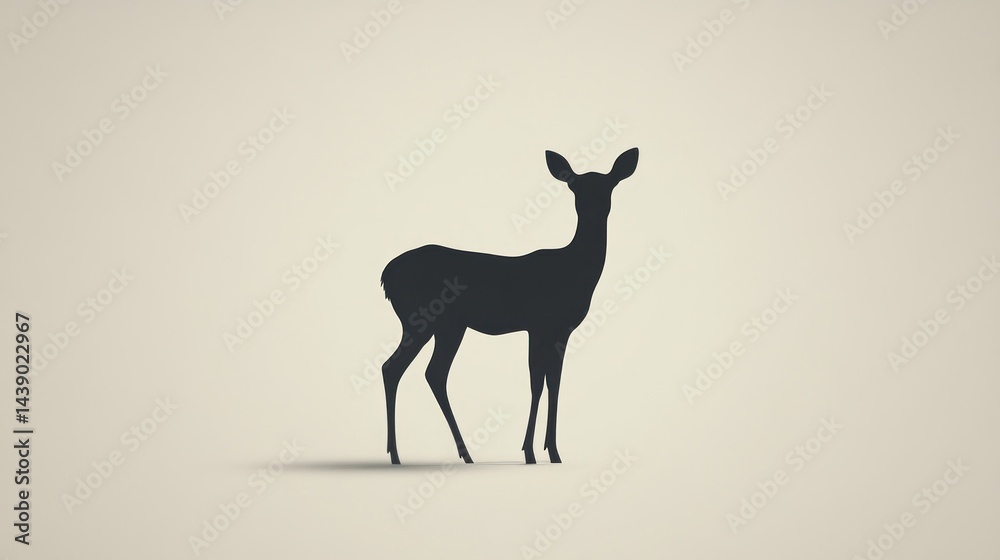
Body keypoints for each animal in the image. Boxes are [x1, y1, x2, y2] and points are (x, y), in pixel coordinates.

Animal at [379, 147, 639, 465]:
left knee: (420, 371)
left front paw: (548, 452)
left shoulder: (555, 330)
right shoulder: (542, 325)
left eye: (608, 186)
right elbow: (540, 381)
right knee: (406, 369)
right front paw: (535, 451)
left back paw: (441, 454)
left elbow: (551, 381)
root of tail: (386, 276)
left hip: (442, 325)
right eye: (575, 187)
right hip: (426, 319)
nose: (593, 208)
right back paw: (406, 455)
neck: (575, 271)